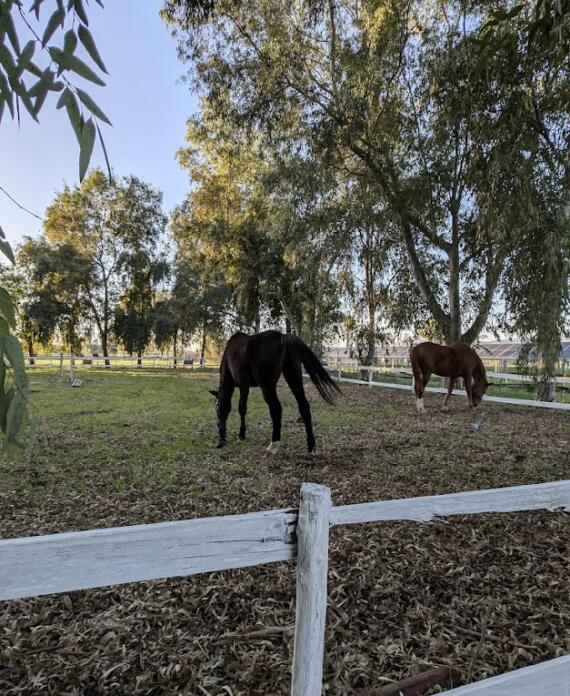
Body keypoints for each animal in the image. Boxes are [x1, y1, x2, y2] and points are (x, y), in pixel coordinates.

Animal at [211, 330, 340, 454]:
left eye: (216, 407)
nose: (218, 428)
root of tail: (283, 336)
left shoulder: (229, 384)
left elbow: (233, 407)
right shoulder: (244, 387)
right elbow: (242, 408)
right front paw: (242, 434)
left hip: (267, 387)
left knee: (276, 409)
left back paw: (274, 444)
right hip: (294, 378)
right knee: (304, 406)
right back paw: (311, 446)